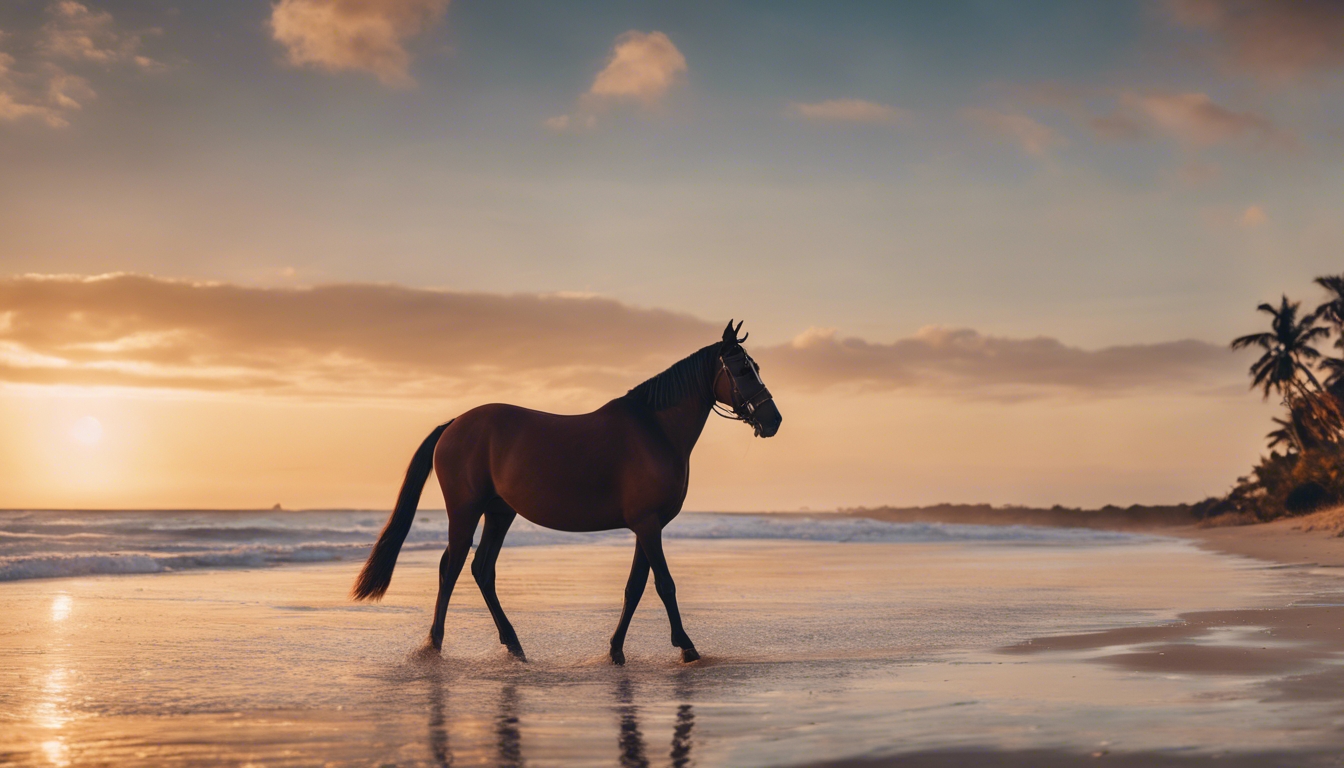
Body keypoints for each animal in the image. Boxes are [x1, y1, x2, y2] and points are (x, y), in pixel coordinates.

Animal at [351, 320, 782, 664]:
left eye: (756, 367)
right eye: (742, 368)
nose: (773, 419)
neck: (654, 430)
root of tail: (455, 423)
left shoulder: (646, 526)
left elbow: (634, 588)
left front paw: (616, 650)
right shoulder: (648, 525)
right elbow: (663, 584)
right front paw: (686, 647)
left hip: (500, 512)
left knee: (482, 569)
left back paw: (514, 645)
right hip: (465, 511)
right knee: (451, 568)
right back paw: (435, 645)